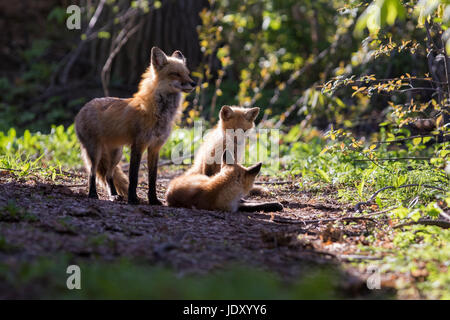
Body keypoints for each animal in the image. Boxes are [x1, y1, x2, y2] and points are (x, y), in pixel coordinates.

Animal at [74, 46, 194, 204]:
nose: (194, 83)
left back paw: (114, 195)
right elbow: (133, 177)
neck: (160, 113)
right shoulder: (138, 145)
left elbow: (152, 178)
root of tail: (83, 108)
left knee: (108, 175)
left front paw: (153, 200)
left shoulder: (155, 147)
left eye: (187, 74)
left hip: (116, 154)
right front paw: (132, 199)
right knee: (92, 172)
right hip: (95, 152)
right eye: (175, 74)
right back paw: (93, 194)